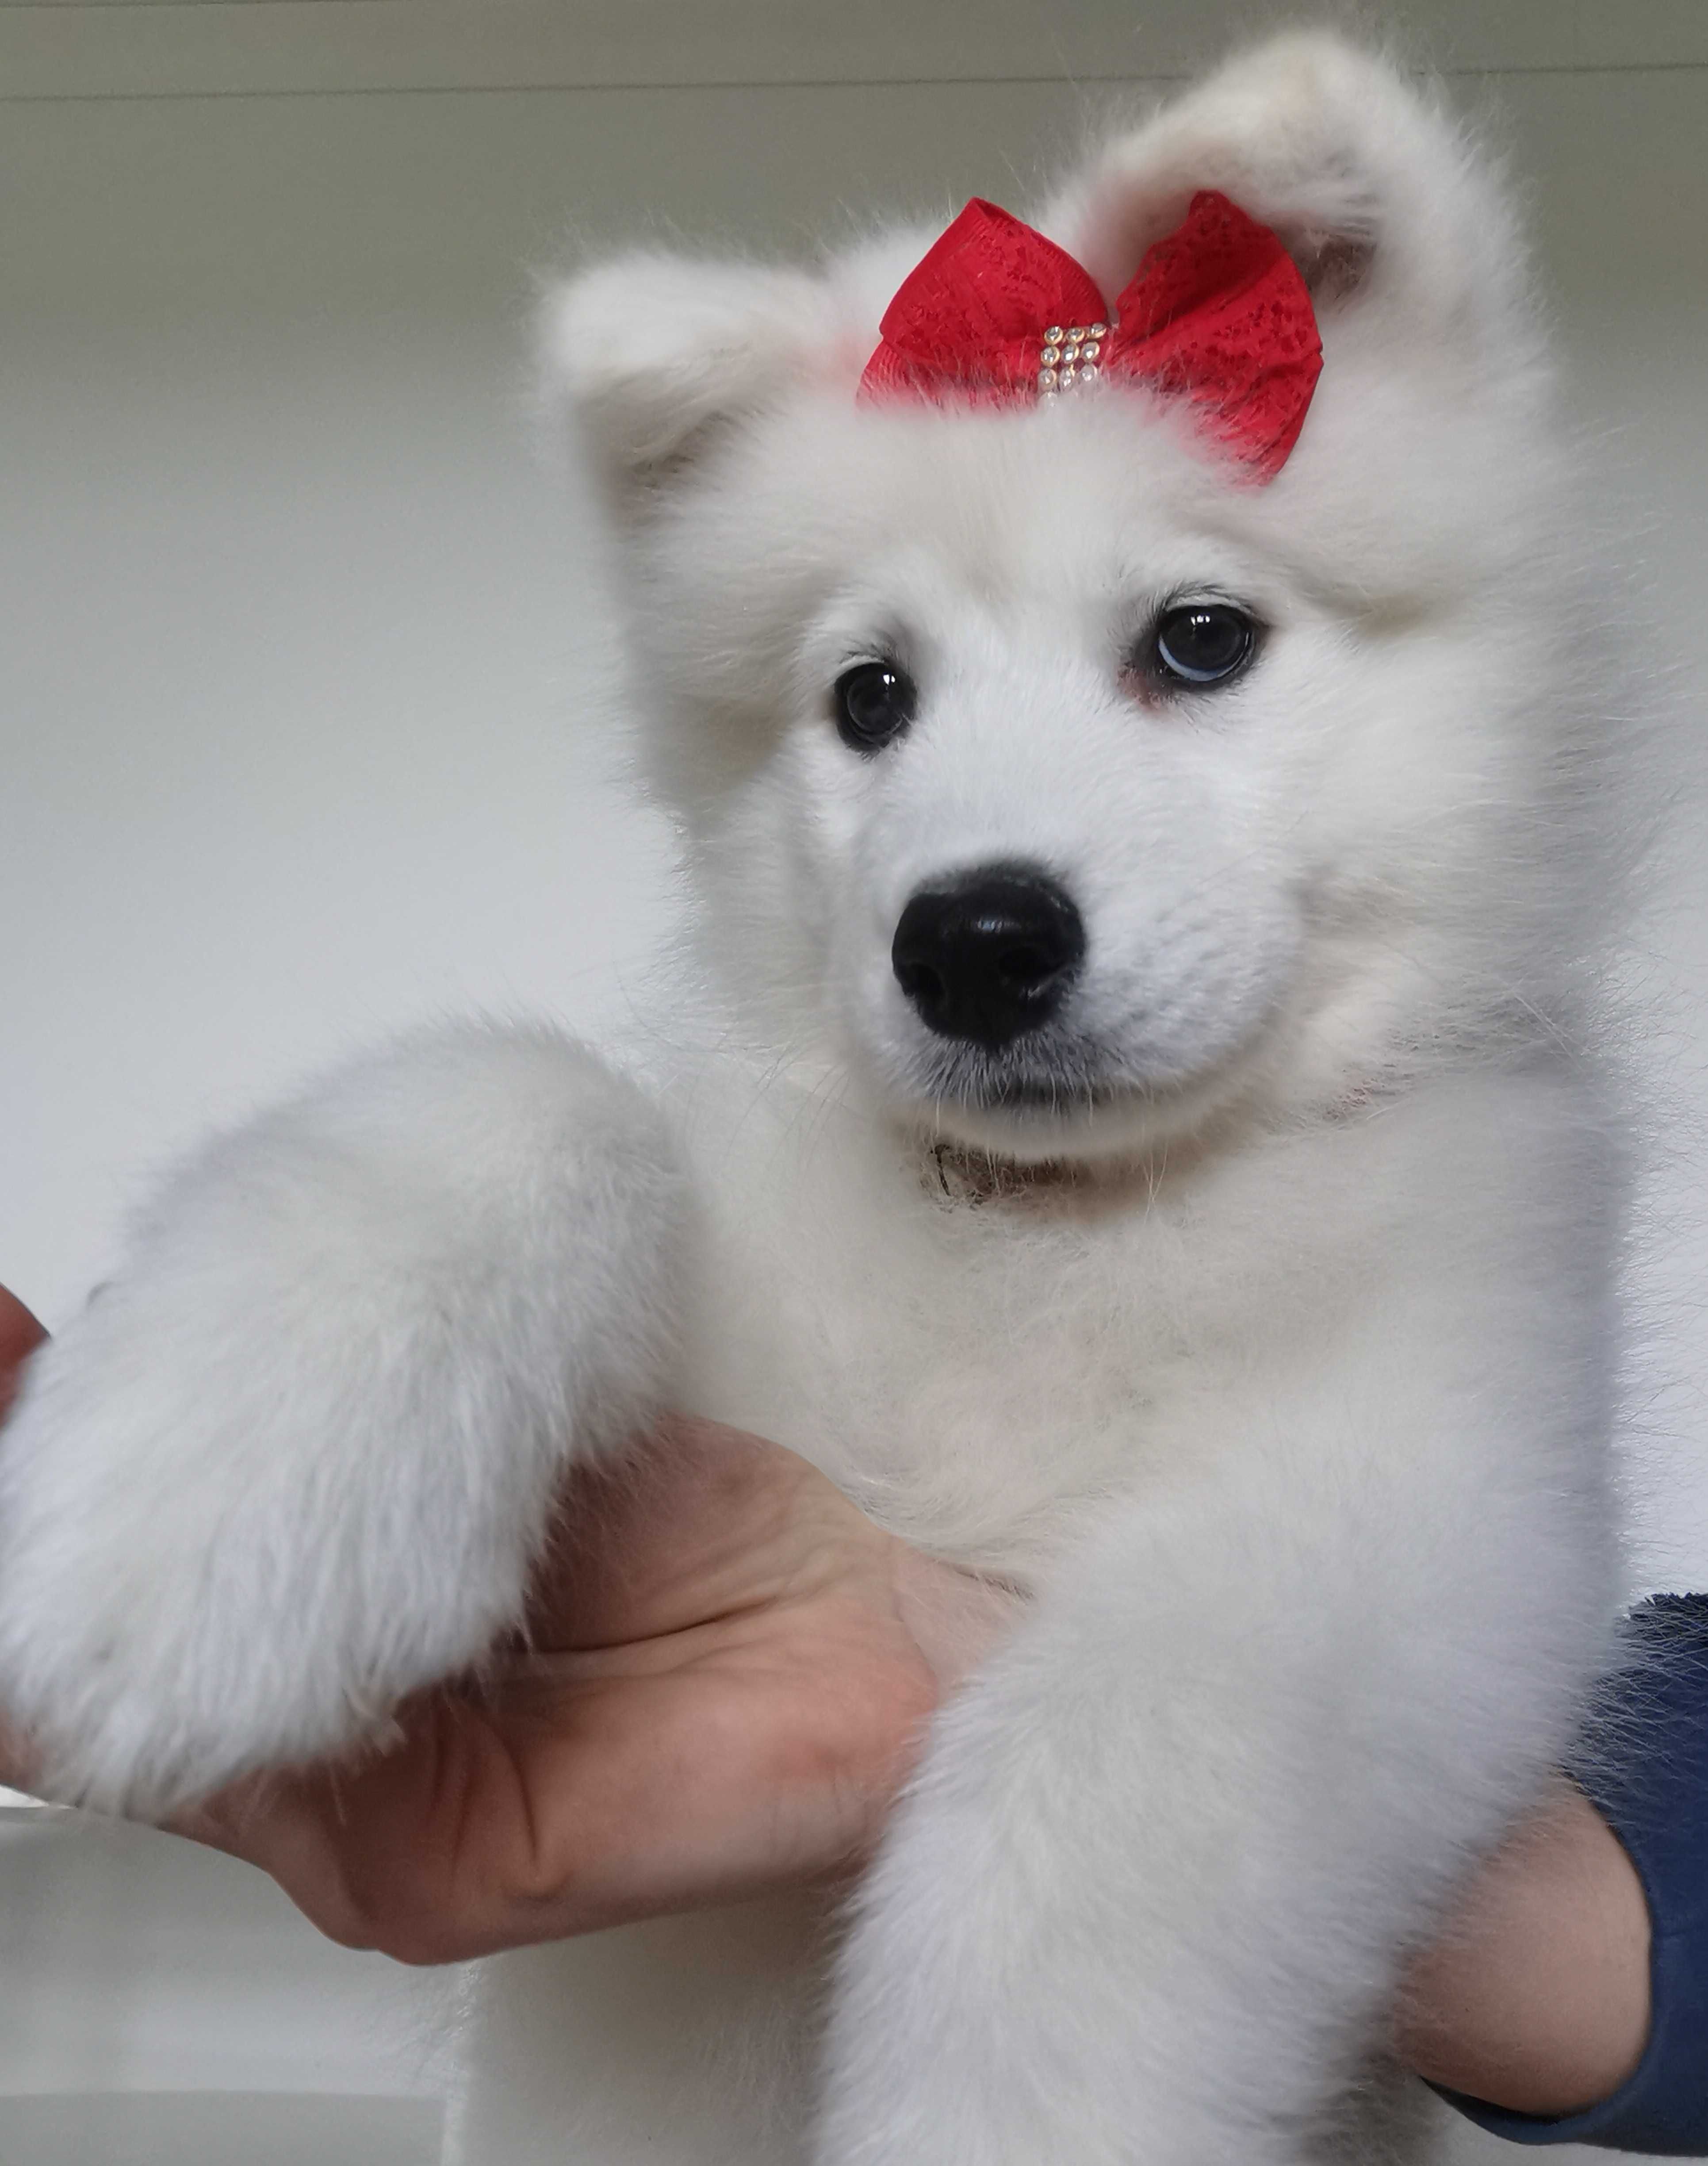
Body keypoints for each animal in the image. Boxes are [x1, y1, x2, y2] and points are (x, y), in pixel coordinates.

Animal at [0, 34, 1628, 2166]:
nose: (976, 940)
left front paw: (1012, 2113)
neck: (1038, 1228)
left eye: (1200, 639)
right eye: (870, 696)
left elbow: (1115, 1760)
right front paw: (210, 1506)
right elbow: (516, 1093)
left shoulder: (1439, 1502)